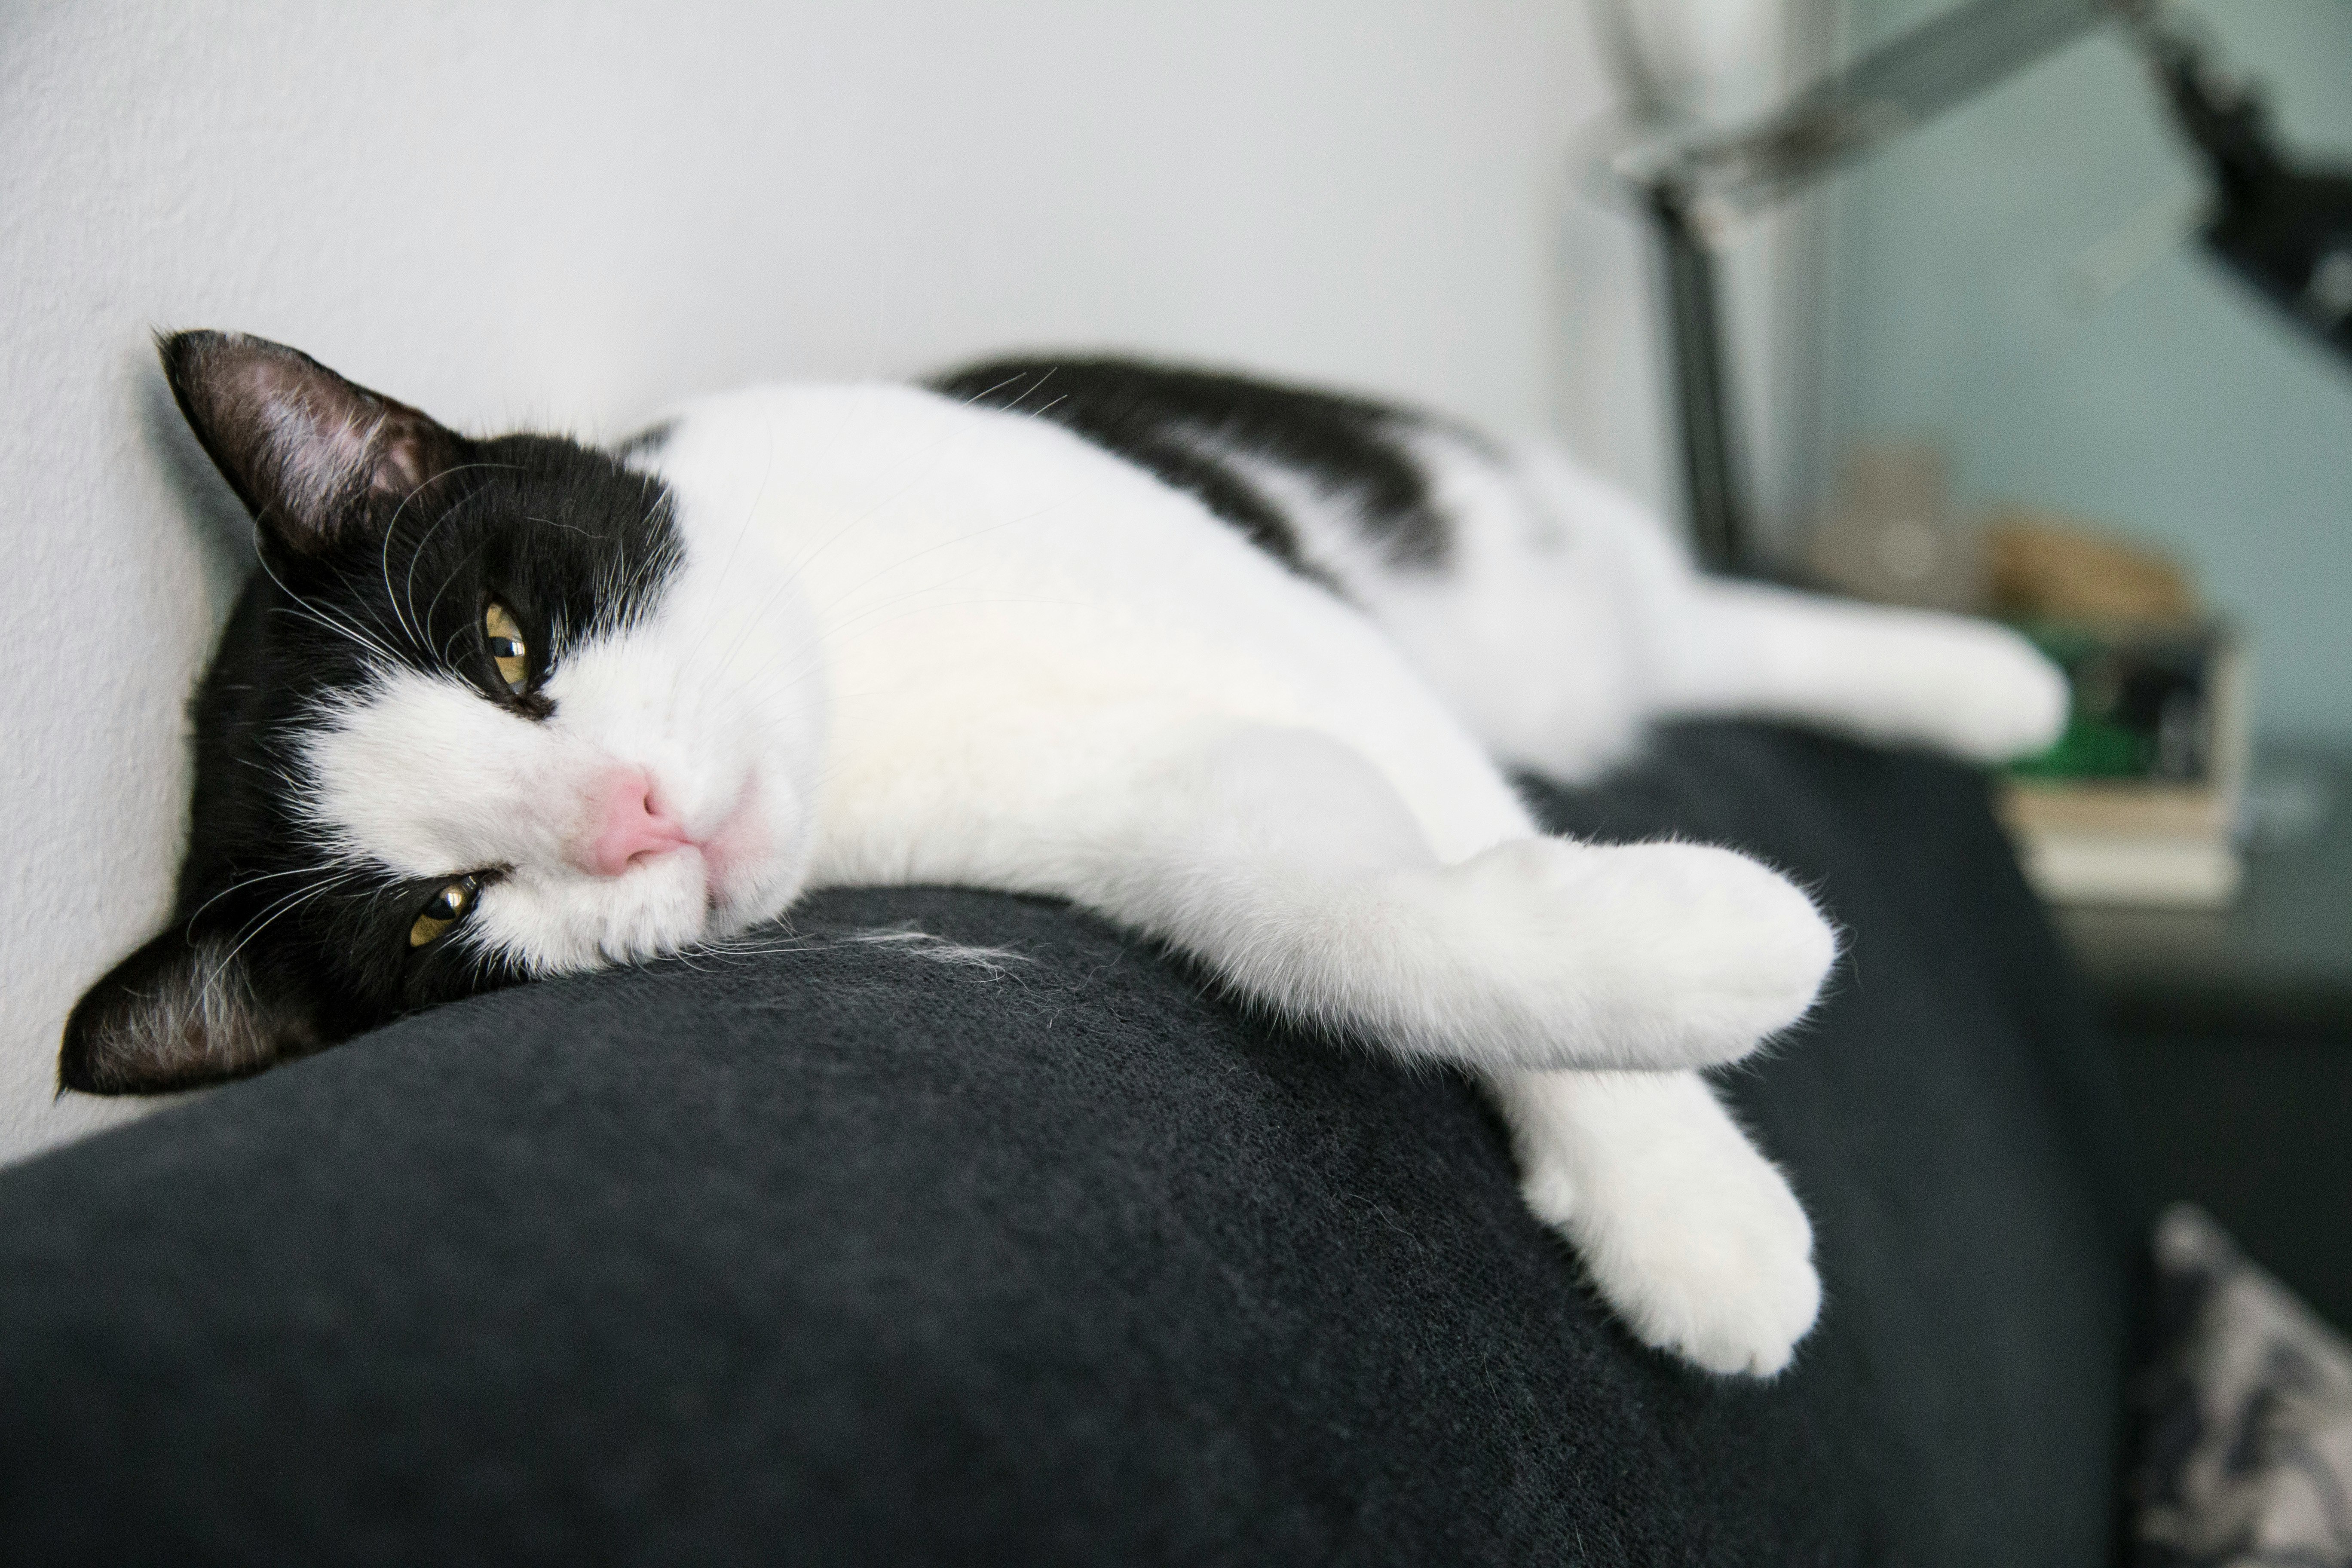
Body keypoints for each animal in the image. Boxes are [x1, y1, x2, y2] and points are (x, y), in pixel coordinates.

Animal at [64, 331, 2070, 1373]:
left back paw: (1980, 678)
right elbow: (1348, 924)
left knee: (1697, 625)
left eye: (502, 641)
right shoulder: (1176, 798)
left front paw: (1679, 1185)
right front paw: (1695, 1051)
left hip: (1498, 544)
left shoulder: (1304, 635)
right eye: (445, 914)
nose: (630, 815)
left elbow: (1447, 797)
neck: (861, 685)